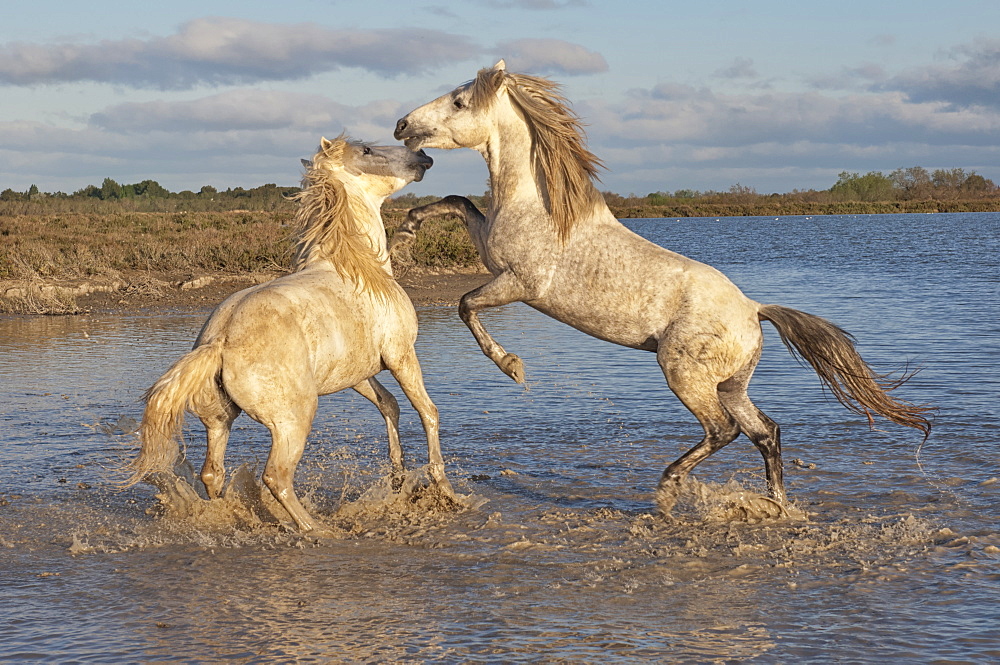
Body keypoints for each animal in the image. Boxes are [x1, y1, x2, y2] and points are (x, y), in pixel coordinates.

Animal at [121, 136, 458, 536]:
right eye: (366, 151)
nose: (423, 156)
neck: (360, 268)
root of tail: (219, 342)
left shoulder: (356, 373)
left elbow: (389, 406)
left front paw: (398, 478)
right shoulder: (401, 354)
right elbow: (427, 411)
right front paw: (445, 489)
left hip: (219, 420)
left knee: (212, 473)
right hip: (293, 421)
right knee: (276, 477)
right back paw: (318, 529)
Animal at [394, 61, 932, 512]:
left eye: (459, 102)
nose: (401, 126)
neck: (539, 206)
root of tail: (754, 309)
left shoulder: (518, 283)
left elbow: (465, 304)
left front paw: (511, 366)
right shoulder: (488, 250)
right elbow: (458, 202)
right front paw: (407, 230)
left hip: (682, 374)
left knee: (724, 430)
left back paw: (670, 486)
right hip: (729, 384)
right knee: (766, 433)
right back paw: (776, 505)